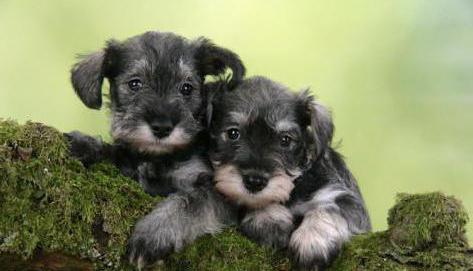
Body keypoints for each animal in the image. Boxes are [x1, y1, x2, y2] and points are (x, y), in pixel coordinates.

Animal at [65, 30, 243, 197]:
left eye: (186, 87)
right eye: (134, 84)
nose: (162, 128)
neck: (158, 157)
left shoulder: (194, 175)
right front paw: (85, 145)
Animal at [125, 76, 368, 270]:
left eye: (285, 140)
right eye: (233, 133)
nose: (255, 181)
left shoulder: (348, 201)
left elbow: (330, 208)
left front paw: (313, 241)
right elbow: (190, 203)